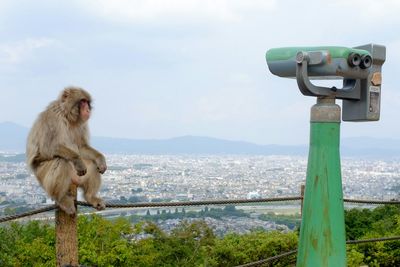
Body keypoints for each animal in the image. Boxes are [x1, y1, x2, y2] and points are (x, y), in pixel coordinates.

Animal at [26, 88, 108, 216]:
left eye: (87, 102)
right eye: (82, 102)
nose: (87, 109)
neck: (68, 116)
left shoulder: (81, 124)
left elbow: (81, 147)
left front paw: (100, 159)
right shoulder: (53, 116)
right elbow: (47, 148)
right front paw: (77, 160)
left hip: (77, 177)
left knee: (92, 164)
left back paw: (90, 197)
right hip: (43, 176)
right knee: (61, 161)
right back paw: (61, 199)